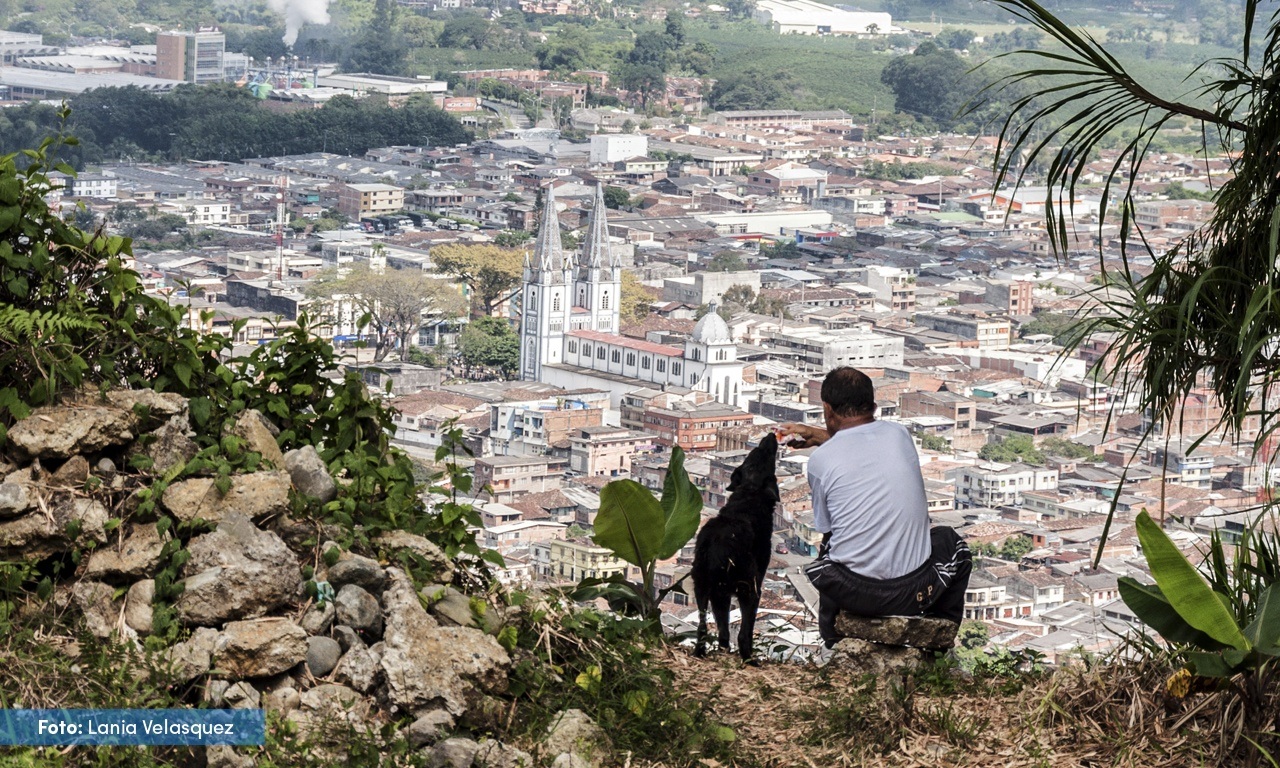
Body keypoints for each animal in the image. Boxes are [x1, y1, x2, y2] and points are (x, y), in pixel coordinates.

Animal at [696, 432, 773, 660]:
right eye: (767, 455)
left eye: (753, 455)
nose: (770, 435)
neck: (749, 493)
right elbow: (743, 629)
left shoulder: (719, 594)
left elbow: (723, 630)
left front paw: (723, 651)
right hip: (749, 589)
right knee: (743, 633)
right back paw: (749, 659)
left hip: (702, 586)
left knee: (703, 626)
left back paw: (700, 652)